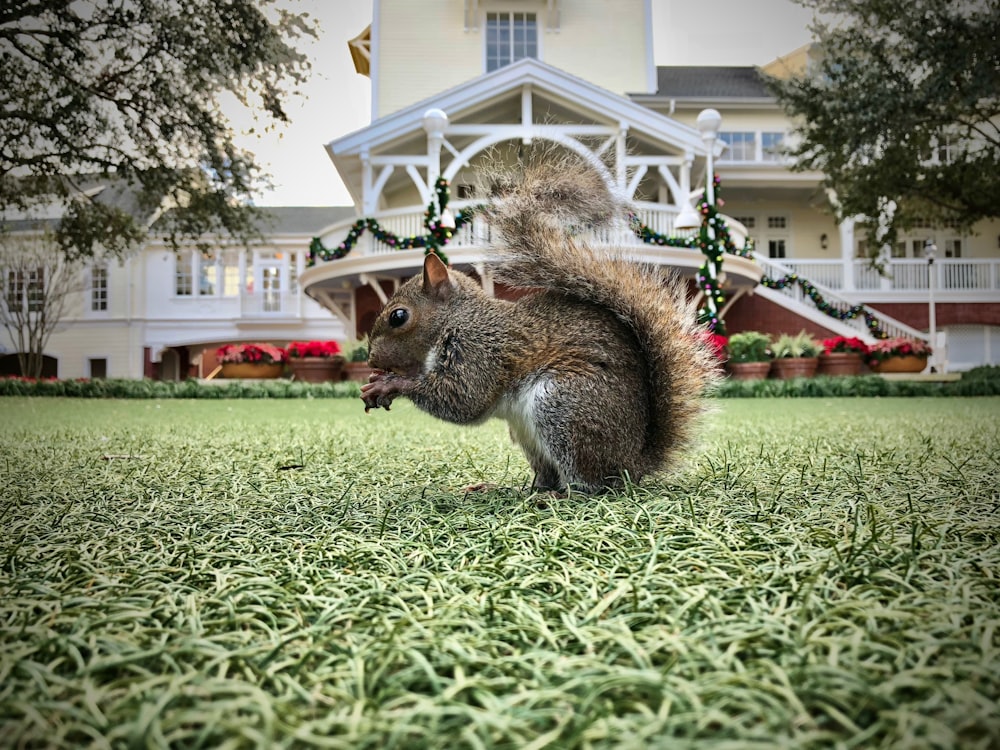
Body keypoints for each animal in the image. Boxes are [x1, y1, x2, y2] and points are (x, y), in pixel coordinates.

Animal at [360, 156, 720, 496]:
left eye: (398, 317)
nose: (371, 360)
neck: (460, 320)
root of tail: (633, 463)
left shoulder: (481, 351)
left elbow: (463, 401)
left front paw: (391, 383)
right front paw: (378, 381)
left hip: (564, 406)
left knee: (593, 485)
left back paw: (562, 496)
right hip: (529, 435)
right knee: (547, 477)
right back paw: (508, 489)